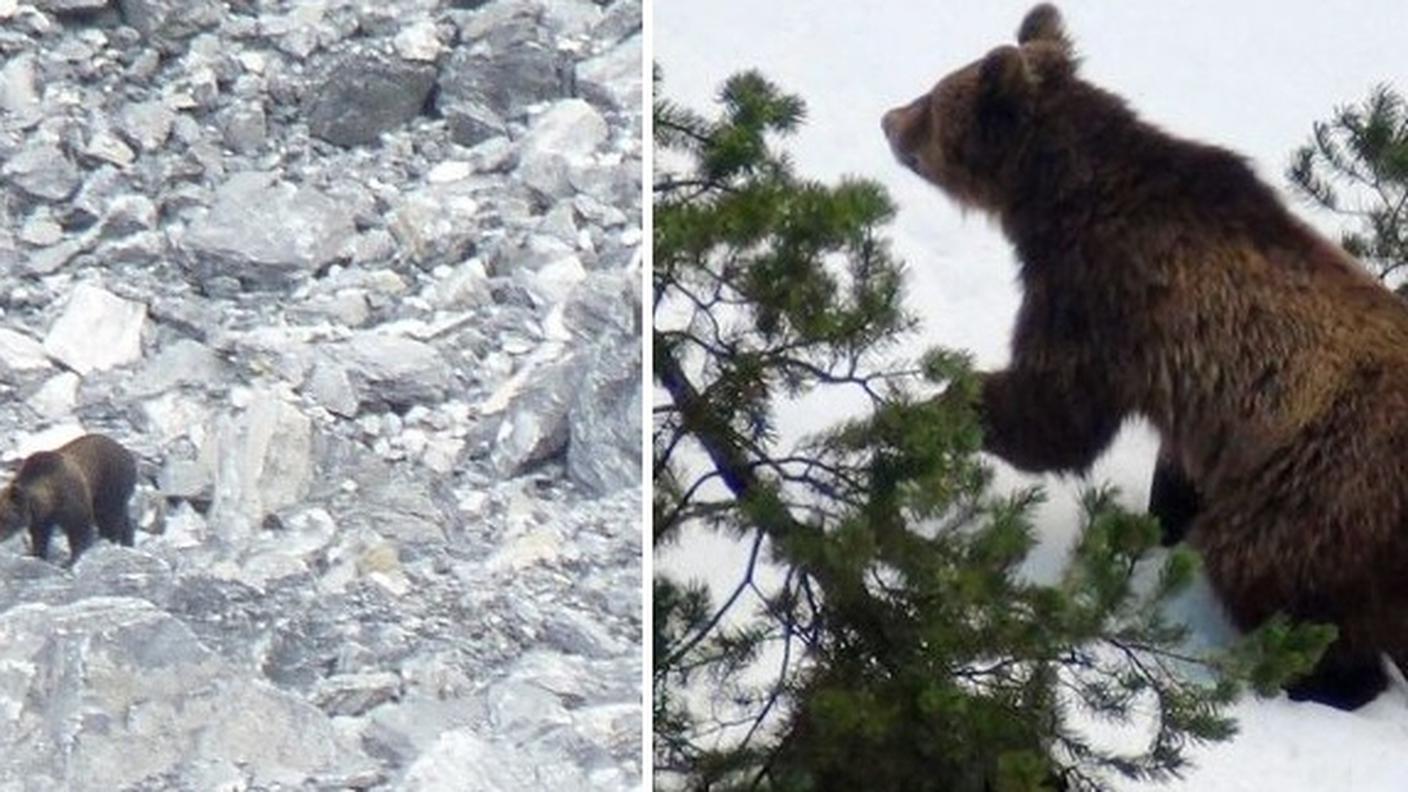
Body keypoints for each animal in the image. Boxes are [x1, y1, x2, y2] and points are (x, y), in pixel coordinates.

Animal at [0, 433, 137, 565]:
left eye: (5, 517)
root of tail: (127, 453)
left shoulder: (71, 499)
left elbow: (79, 529)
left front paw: (71, 560)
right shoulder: (41, 517)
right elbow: (40, 535)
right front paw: (37, 554)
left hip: (111, 483)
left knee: (110, 516)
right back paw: (127, 542)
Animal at [882, 3, 1408, 711]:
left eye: (934, 101)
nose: (889, 118)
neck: (1062, 200)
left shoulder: (1103, 298)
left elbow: (1054, 415)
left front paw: (932, 408)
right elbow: (1171, 469)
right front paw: (1158, 525)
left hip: (1318, 490)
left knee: (1271, 572)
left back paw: (1316, 681)